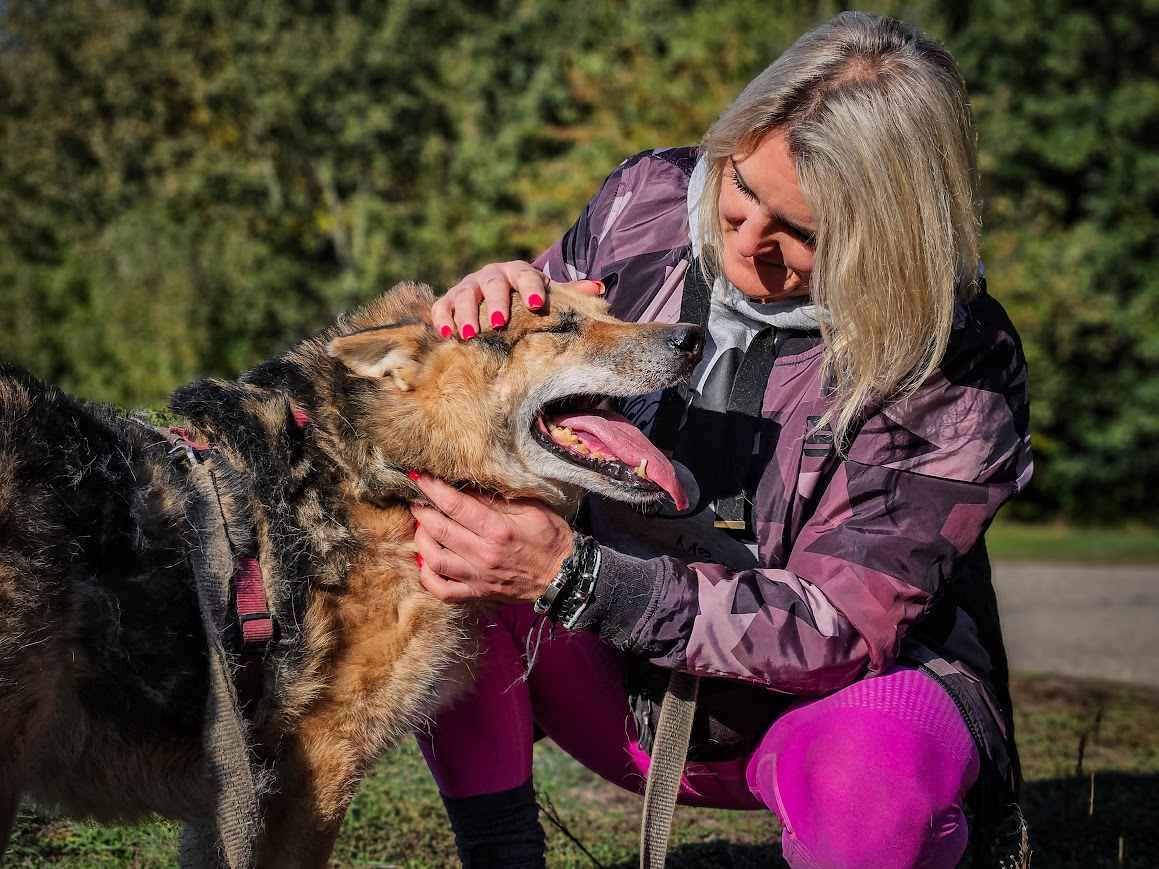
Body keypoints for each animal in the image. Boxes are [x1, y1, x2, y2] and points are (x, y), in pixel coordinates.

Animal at [0, 282, 704, 866]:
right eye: (557, 325)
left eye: (609, 306)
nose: (692, 336)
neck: (379, 467)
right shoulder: (319, 762)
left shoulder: (233, 782)